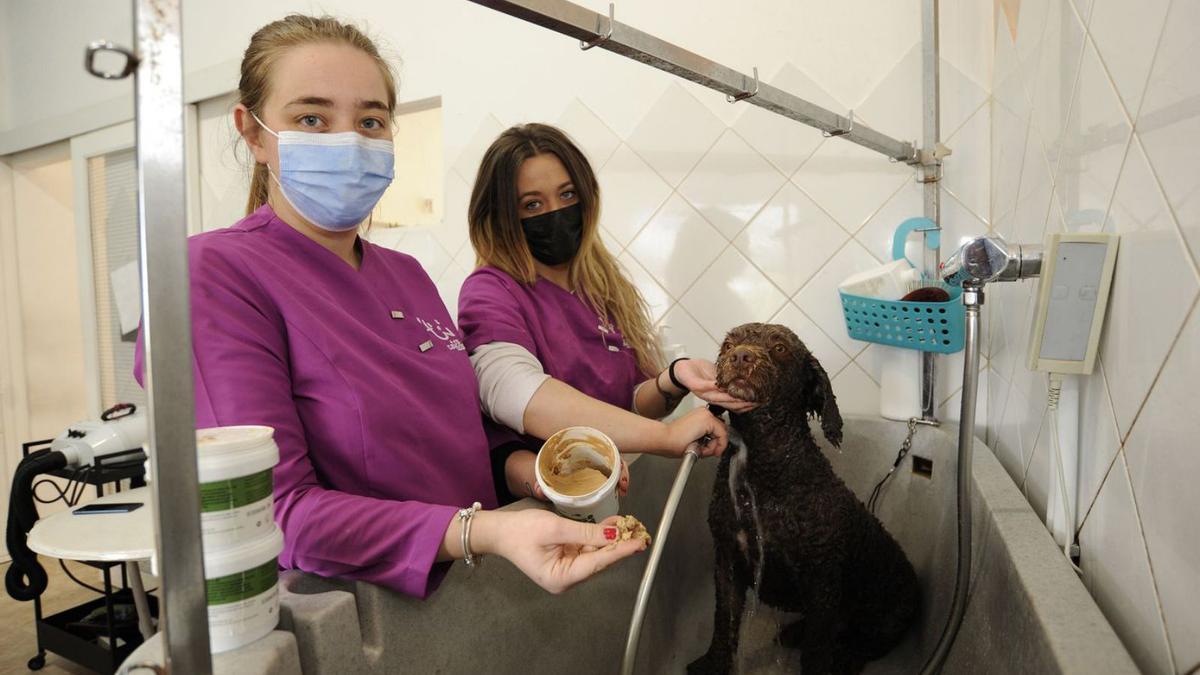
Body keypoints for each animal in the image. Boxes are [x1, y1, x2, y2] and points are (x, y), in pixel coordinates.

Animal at [686, 319, 916, 672]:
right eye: (727, 345)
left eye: (780, 347)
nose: (740, 356)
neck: (767, 471)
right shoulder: (727, 560)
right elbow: (724, 621)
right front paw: (713, 663)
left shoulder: (821, 580)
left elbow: (817, 648)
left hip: (888, 614)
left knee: (865, 645)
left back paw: (844, 659)